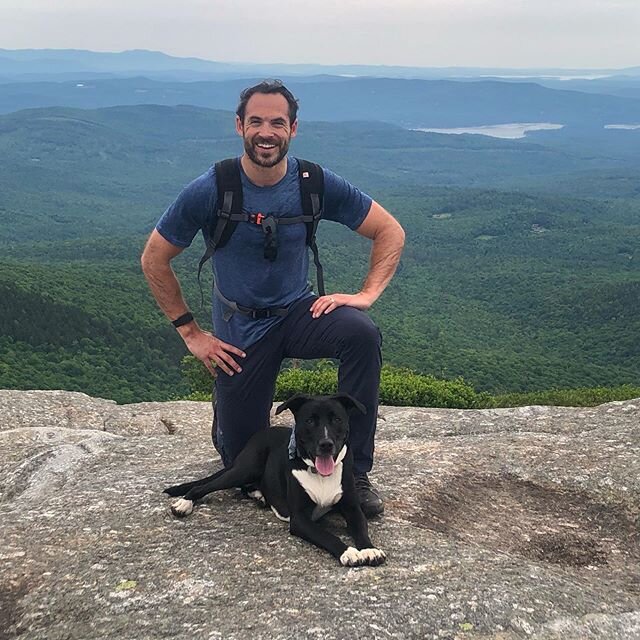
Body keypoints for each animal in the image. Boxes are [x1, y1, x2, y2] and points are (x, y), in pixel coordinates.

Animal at [164, 392, 384, 568]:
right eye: (310, 421)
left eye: (337, 419)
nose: (326, 444)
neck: (319, 474)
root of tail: (261, 433)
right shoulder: (300, 519)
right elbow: (327, 536)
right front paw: (349, 552)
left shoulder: (352, 508)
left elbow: (361, 527)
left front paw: (369, 549)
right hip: (245, 469)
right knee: (205, 486)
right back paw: (184, 503)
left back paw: (259, 495)